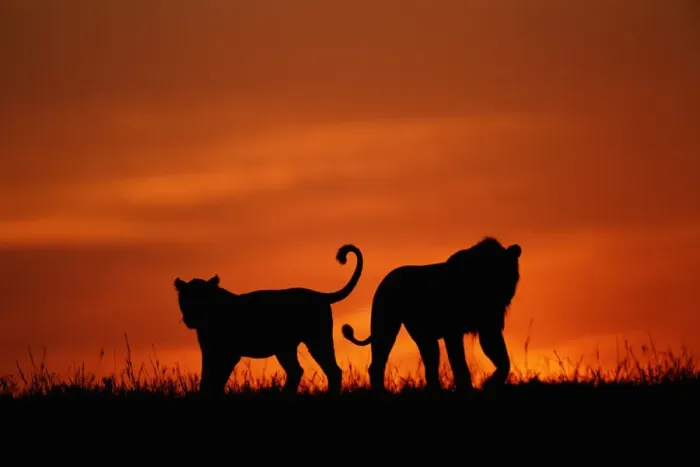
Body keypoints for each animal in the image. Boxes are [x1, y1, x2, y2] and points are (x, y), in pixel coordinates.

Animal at [174, 243, 363, 398]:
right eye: (186, 298)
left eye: (204, 297)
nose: (192, 317)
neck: (207, 321)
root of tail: (320, 295)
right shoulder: (208, 351)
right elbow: (206, 377)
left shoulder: (230, 353)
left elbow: (219, 377)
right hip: (285, 348)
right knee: (297, 371)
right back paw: (285, 396)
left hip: (317, 340)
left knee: (333, 370)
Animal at [341, 237, 521, 393]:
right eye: (487, 273)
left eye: (502, 272)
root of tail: (386, 279)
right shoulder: (452, 331)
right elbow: (459, 363)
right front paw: (468, 389)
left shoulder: (489, 326)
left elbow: (503, 360)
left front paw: (490, 384)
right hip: (385, 324)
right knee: (377, 363)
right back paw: (382, 393)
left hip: (422, 335)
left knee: (430, 362)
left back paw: (435, 390)